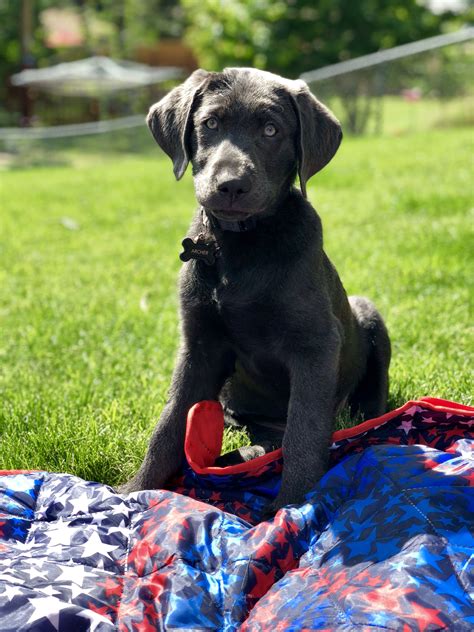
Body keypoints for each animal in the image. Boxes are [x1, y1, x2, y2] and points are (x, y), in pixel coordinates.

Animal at [121, 66, 388, 512]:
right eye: (210, 124)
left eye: (270, 129)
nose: (230, 185)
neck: (241, 245)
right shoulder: (198, 345)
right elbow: (170, 422)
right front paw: (133, 491)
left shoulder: (315, 346)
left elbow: (305, 431)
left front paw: (291, 506)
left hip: (368, 315)